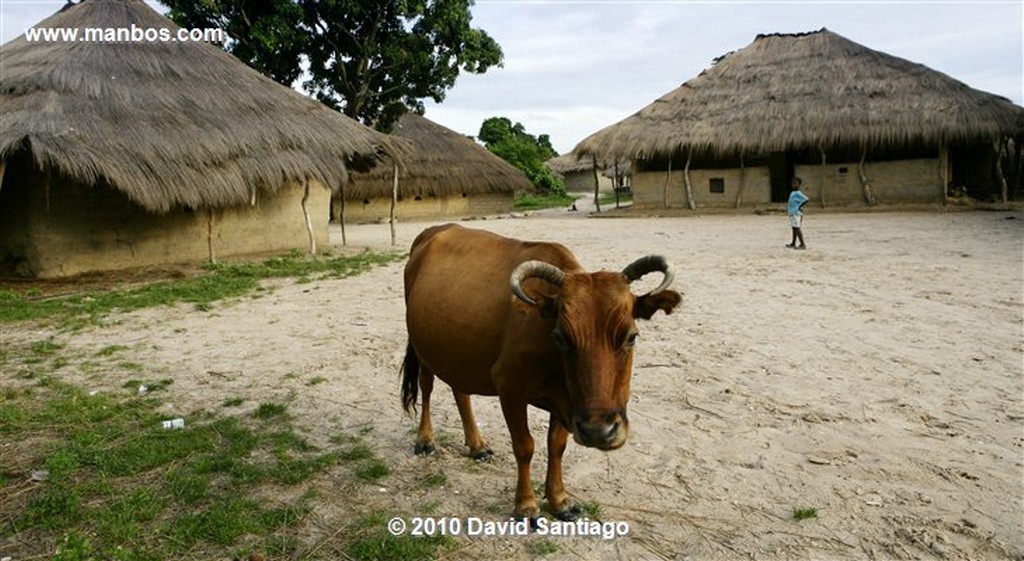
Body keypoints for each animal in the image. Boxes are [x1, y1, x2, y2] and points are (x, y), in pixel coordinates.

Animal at [399, 223, 679, 522]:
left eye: (631, 337)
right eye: (561, 337)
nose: (599, 431)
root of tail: (433, 232)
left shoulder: (566, 400)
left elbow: (556, 446)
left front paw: (559, 500)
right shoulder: (510, 389)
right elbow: (525, 446)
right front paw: (525, 505)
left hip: (456, 351)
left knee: (460, 392)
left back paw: (477, 445)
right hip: (422, 349)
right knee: (426, 386)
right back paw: (425, 439)